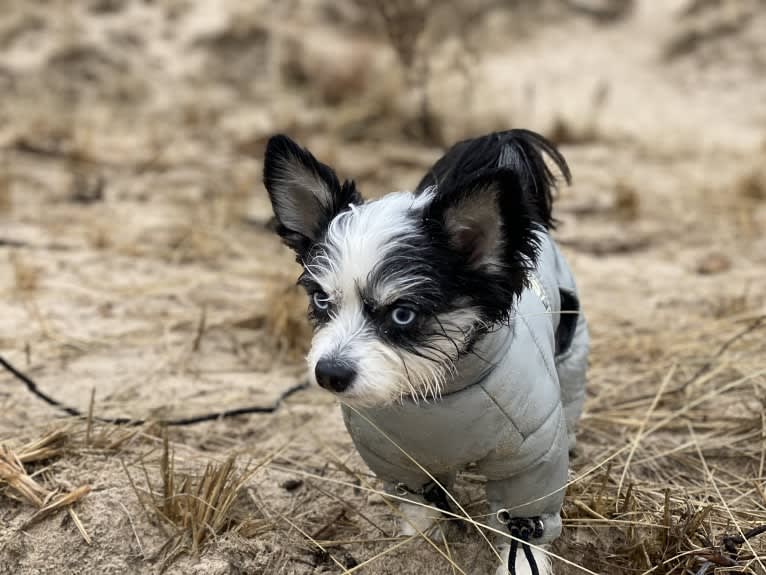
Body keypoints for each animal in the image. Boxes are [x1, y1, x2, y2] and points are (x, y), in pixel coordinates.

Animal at [262, 130, 588, 575]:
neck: (438, 402)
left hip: (569, 352)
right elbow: (418, 508)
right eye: (321, 300)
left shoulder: (529, 464)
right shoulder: (398, 459)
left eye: (403, 314)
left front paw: (522, 566)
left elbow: (522, 528)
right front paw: (415, 551)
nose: (329, 373)